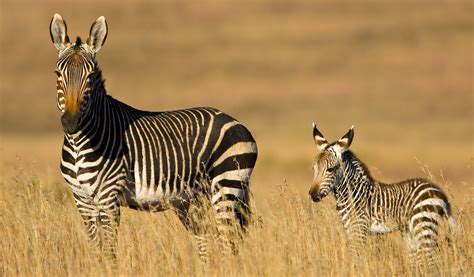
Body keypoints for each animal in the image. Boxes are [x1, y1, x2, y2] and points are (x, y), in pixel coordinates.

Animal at [49, 14, 258, 260]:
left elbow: (109, 252)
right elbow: (96, 250)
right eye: (57, 74)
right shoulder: (82, 200)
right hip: (192, 200)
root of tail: (235, 120)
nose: (71, 122)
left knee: (228, 245)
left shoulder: (108, 198)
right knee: (207, 239)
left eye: (90, 77)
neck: (79, 144)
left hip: (228, 185)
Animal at [308, 123, 456, 266]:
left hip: (424, 226)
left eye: (330, 169)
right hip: (411, 231)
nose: (313, 194)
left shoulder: (359, 229)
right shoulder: (349, 229)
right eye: (313, 168)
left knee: (433, 261)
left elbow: (357, 258)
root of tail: (439, 191)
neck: (353, 194)